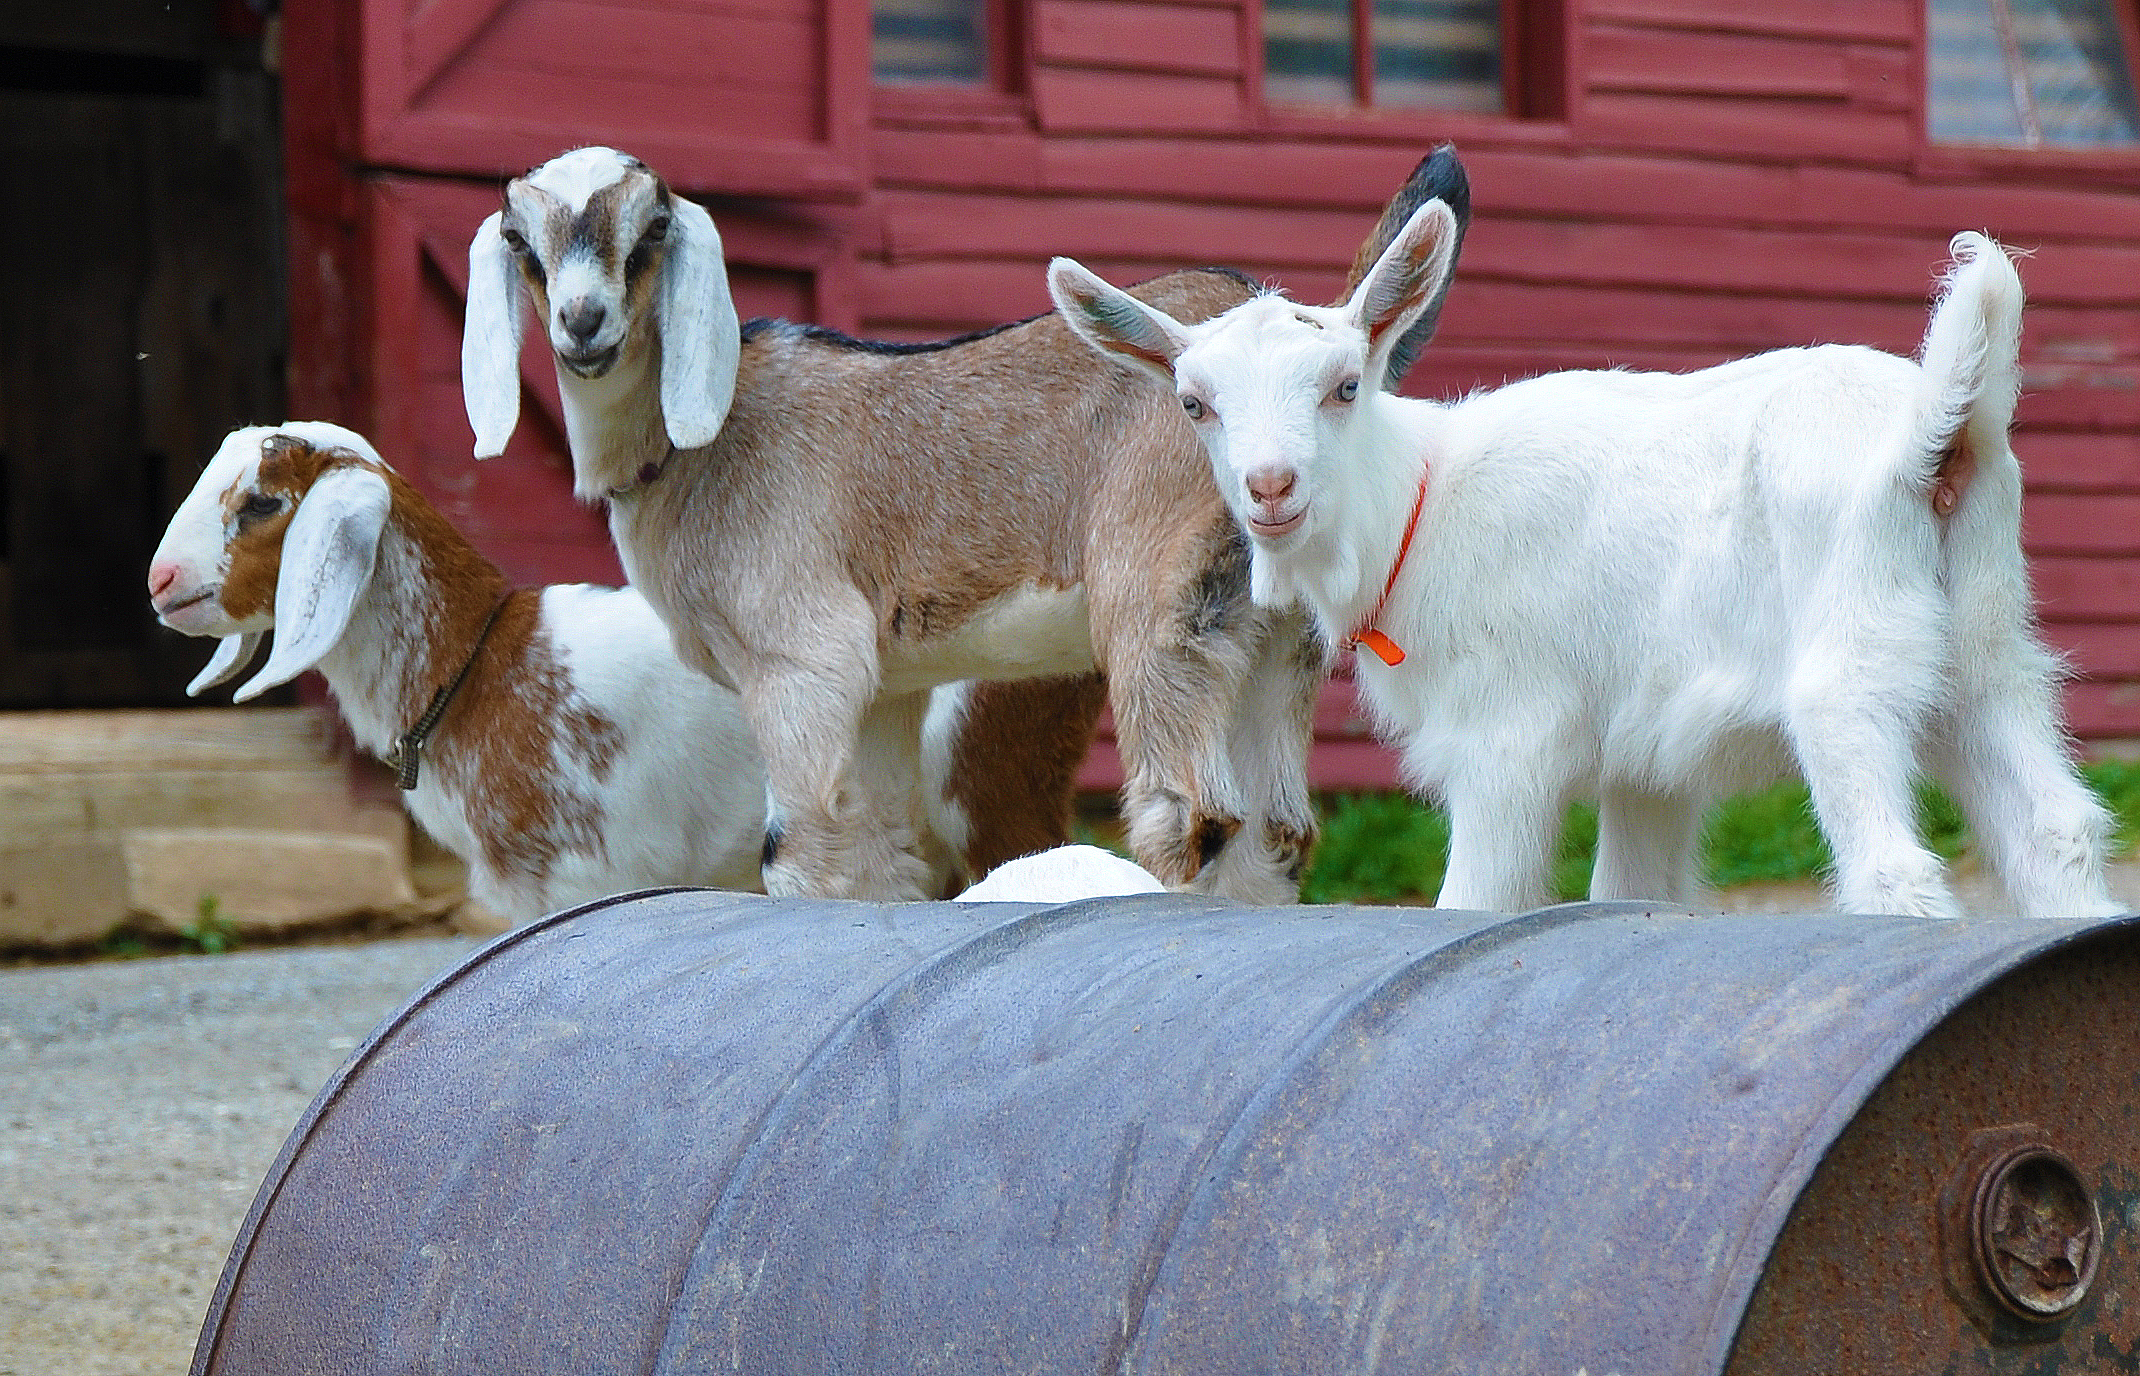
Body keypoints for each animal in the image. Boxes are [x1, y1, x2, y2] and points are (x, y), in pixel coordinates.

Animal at [461, 145, 1468, 902]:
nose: (583, 323)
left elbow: (797, 850)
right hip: (1272, 638)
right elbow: (874, 851)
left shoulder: (800, 656)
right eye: (519, 239)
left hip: (1156, 600)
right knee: (1276, 833)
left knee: (1190, 815)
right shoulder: (882, 683)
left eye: (655, 230)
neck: (699, 448)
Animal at [1051, 209, 2121, 921]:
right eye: (1194, 404)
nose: (1270, 488)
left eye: (1346, 385)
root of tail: (1934, 432)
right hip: (1985, 656)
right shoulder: (1645, 758)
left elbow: (1473, 904)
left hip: (1850, 665)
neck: (1419, 504)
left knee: (1895, 866)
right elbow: (1631, 892)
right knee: (2054, 831)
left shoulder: (1506, 736)